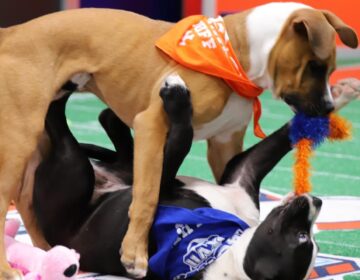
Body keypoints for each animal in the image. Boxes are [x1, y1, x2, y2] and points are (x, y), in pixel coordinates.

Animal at [33, 75, 320, 278]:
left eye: (304, 237)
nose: (316, 201)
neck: (218, 251)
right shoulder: (243, 172)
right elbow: (279, 140)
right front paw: (321, 108)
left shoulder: (154, 193)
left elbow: (182, 139)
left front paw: (177, 99)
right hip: (115, 169)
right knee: (121, 146)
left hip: (73, 169)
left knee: (57, 122)